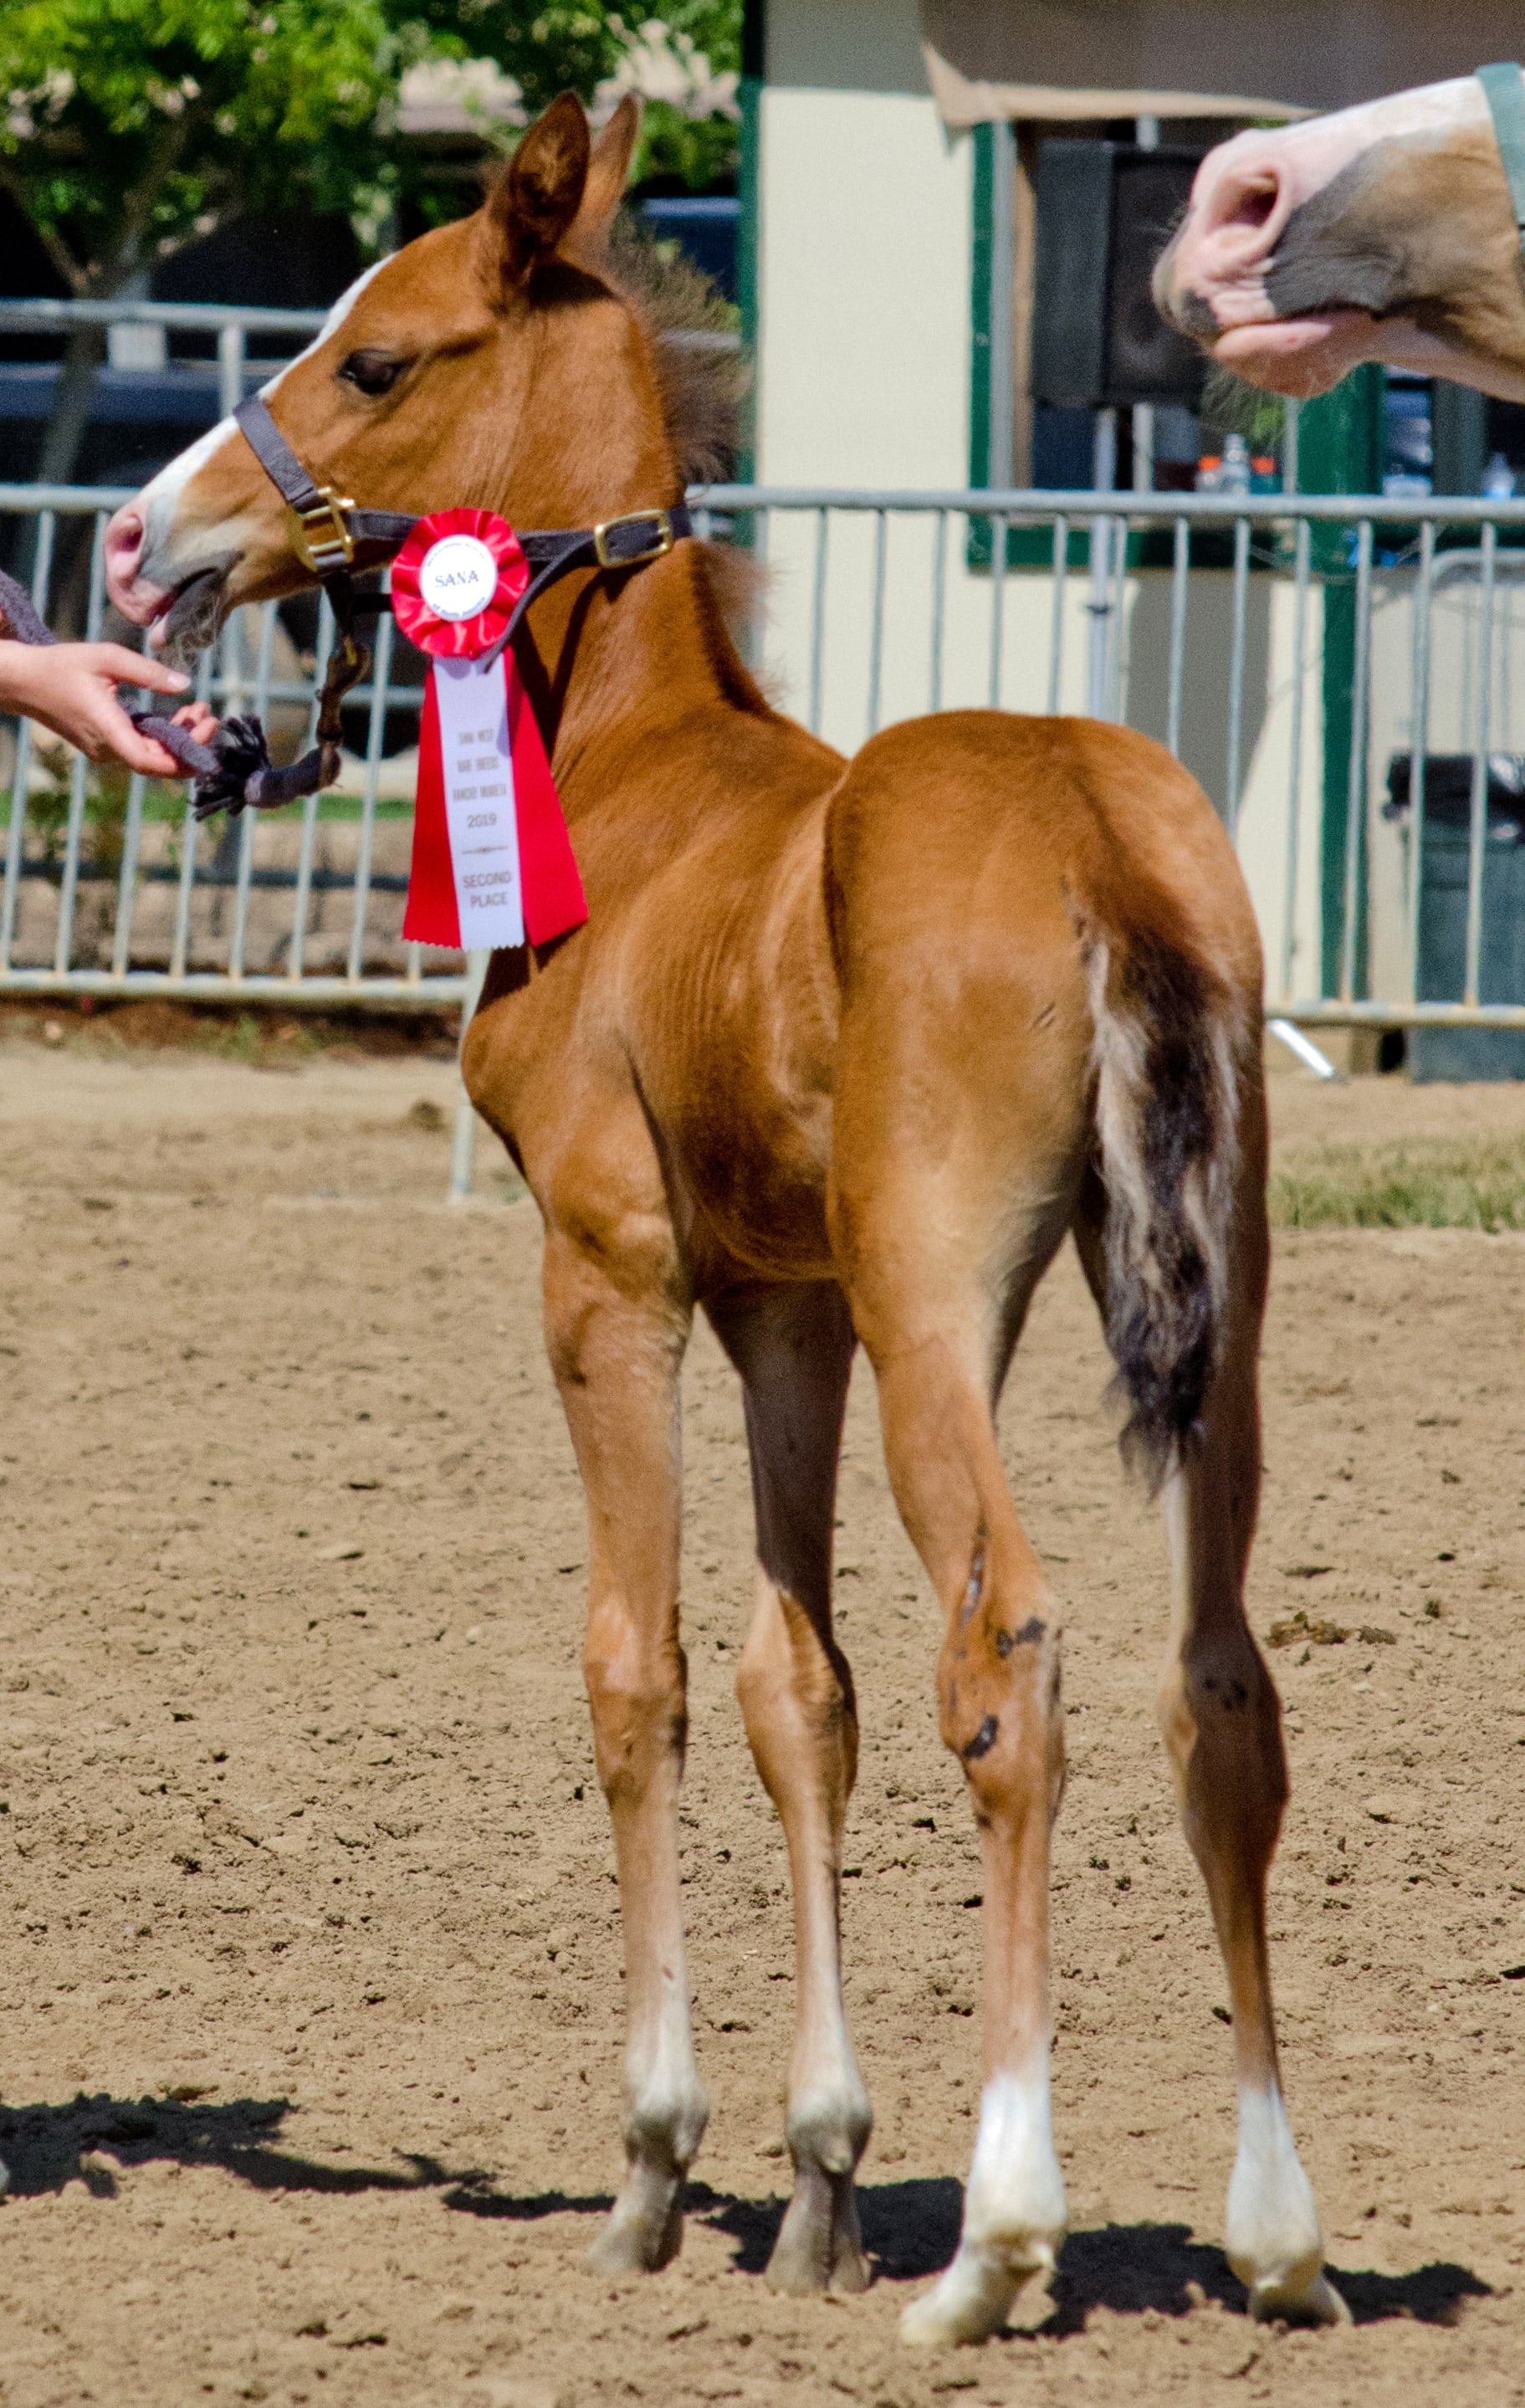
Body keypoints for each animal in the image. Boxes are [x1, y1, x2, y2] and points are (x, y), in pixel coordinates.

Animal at [102, 93, 1345, 2344]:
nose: (141, 546)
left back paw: (1003, 2234)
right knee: (1216, 1685)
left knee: (1008, 1658)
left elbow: (641, 1671)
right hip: (1214, 1320)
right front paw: (821, 2173)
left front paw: (658, 2161)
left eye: (375, 358)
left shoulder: (615, 1275)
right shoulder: (788, 1309)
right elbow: (798, 1686)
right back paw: (1274, 2232)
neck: (640, 780)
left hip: (948, 1305)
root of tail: (1099, 840)